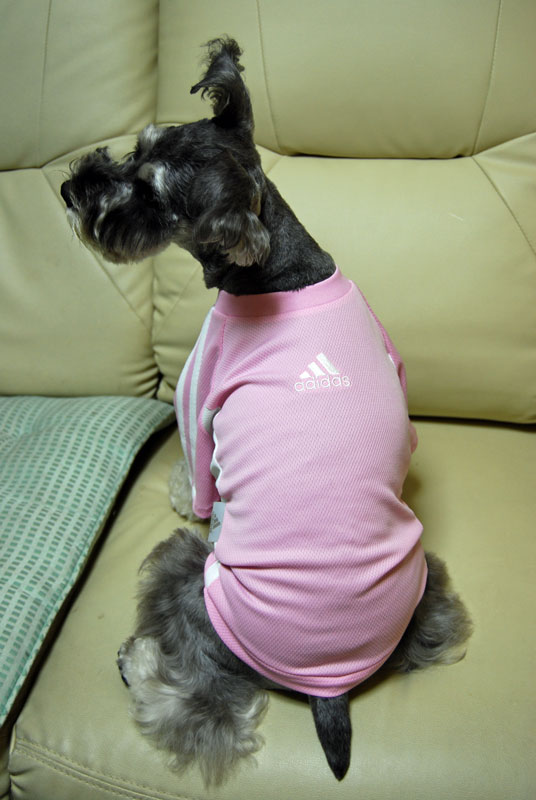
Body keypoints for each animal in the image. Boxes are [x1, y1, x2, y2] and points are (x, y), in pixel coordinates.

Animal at [61, 37, 472, 785]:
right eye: (139, 148)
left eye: (152, 193)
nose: (71, 190)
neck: (282, 268)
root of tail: (331, 684)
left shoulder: (198, 393)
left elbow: (193, 471)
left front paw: (180, 492)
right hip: (424, 571)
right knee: (436, 627)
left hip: (188, 576)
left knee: (201, 704)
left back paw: (138, 663)